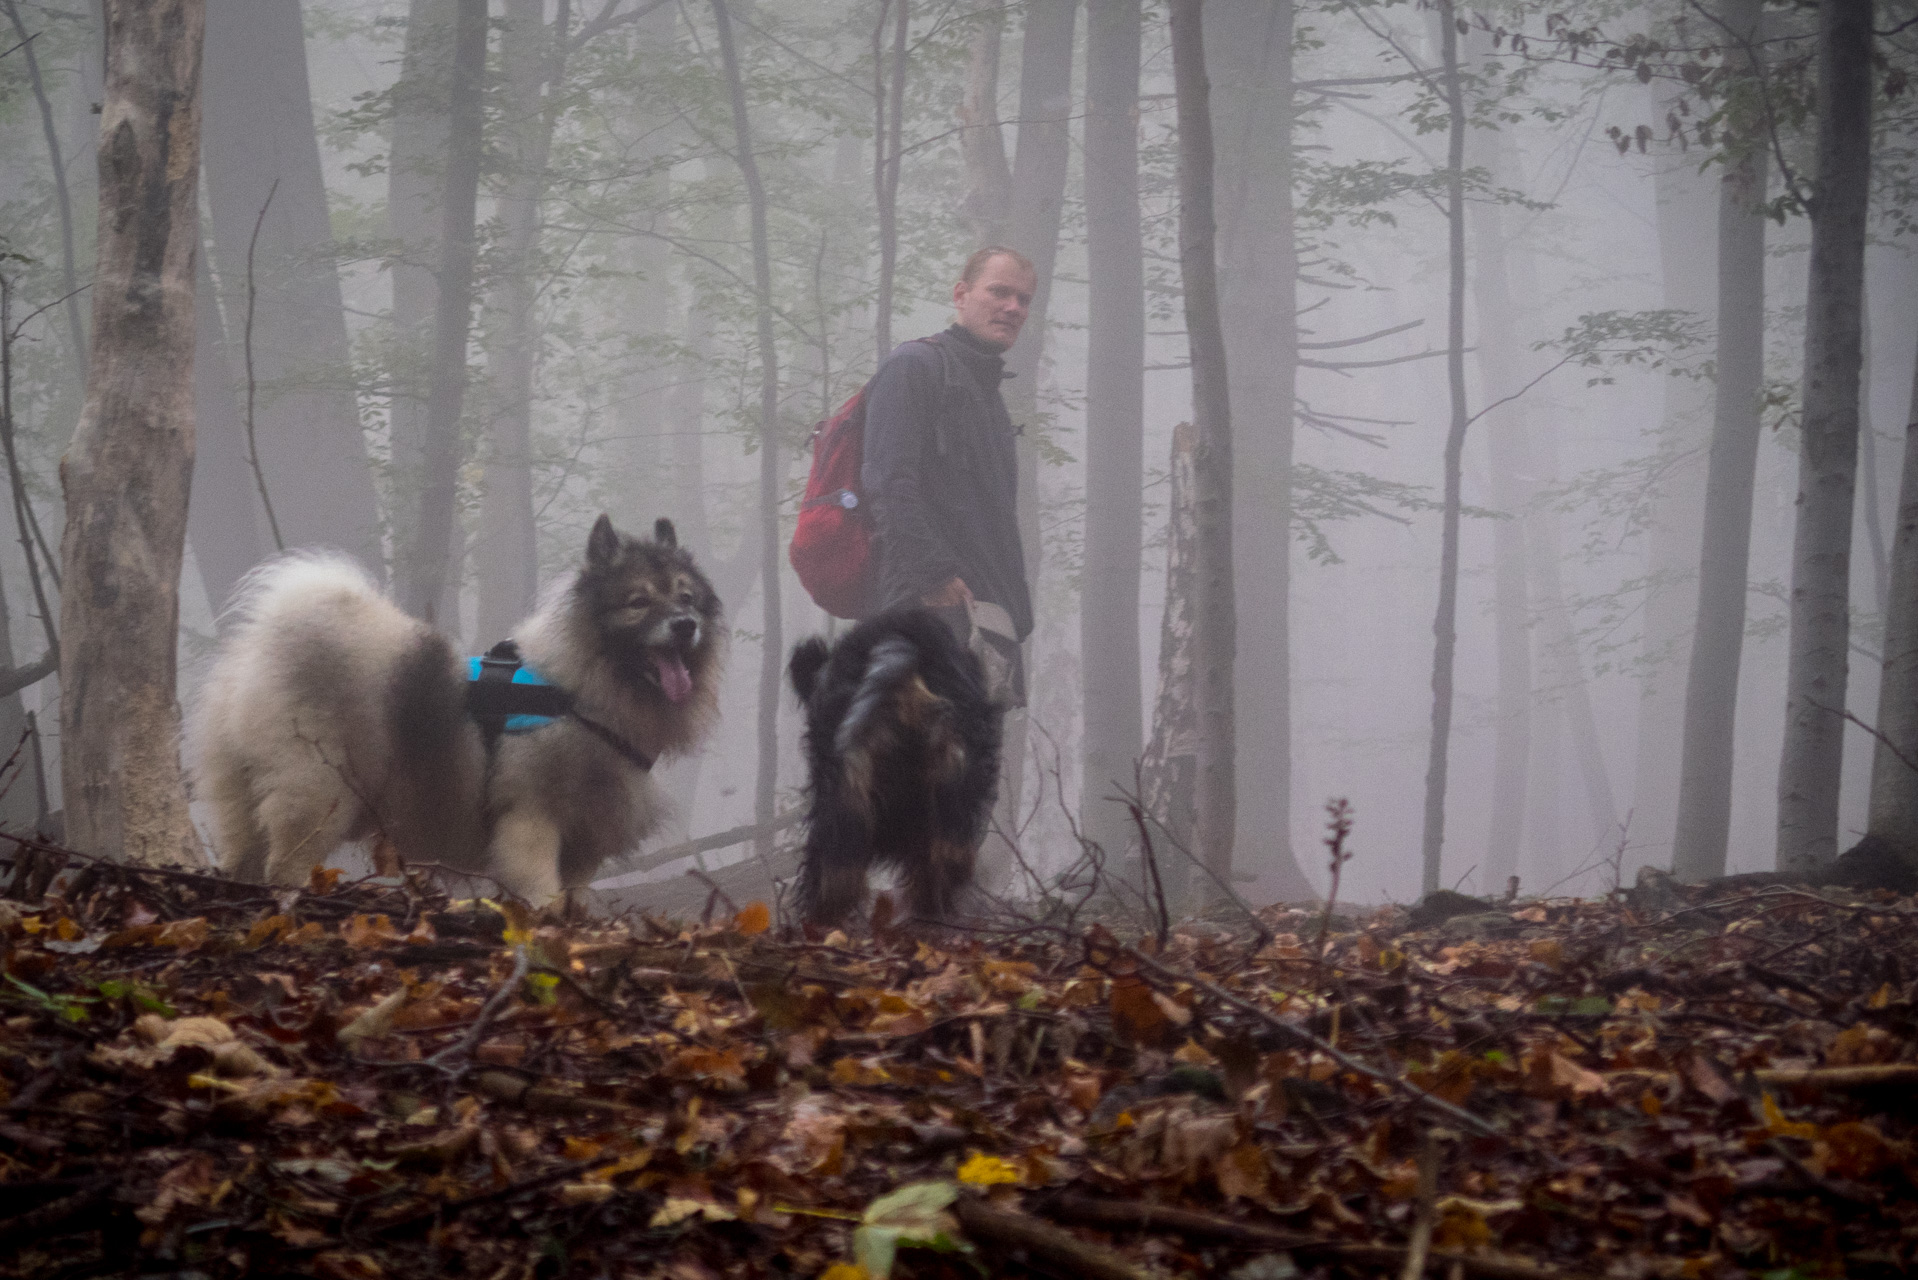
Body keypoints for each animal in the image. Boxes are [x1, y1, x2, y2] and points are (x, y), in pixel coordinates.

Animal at [187, 514, 721, 905]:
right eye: (637, 602)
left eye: (686, 596)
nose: (685, 624)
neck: (579, 689)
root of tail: (260, 652)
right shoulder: (531, 819)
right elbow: (542, 896)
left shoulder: (584, 841)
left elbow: (571, 902)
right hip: (318, 792)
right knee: (285, 866)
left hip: (245, 796)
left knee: (243, 862)